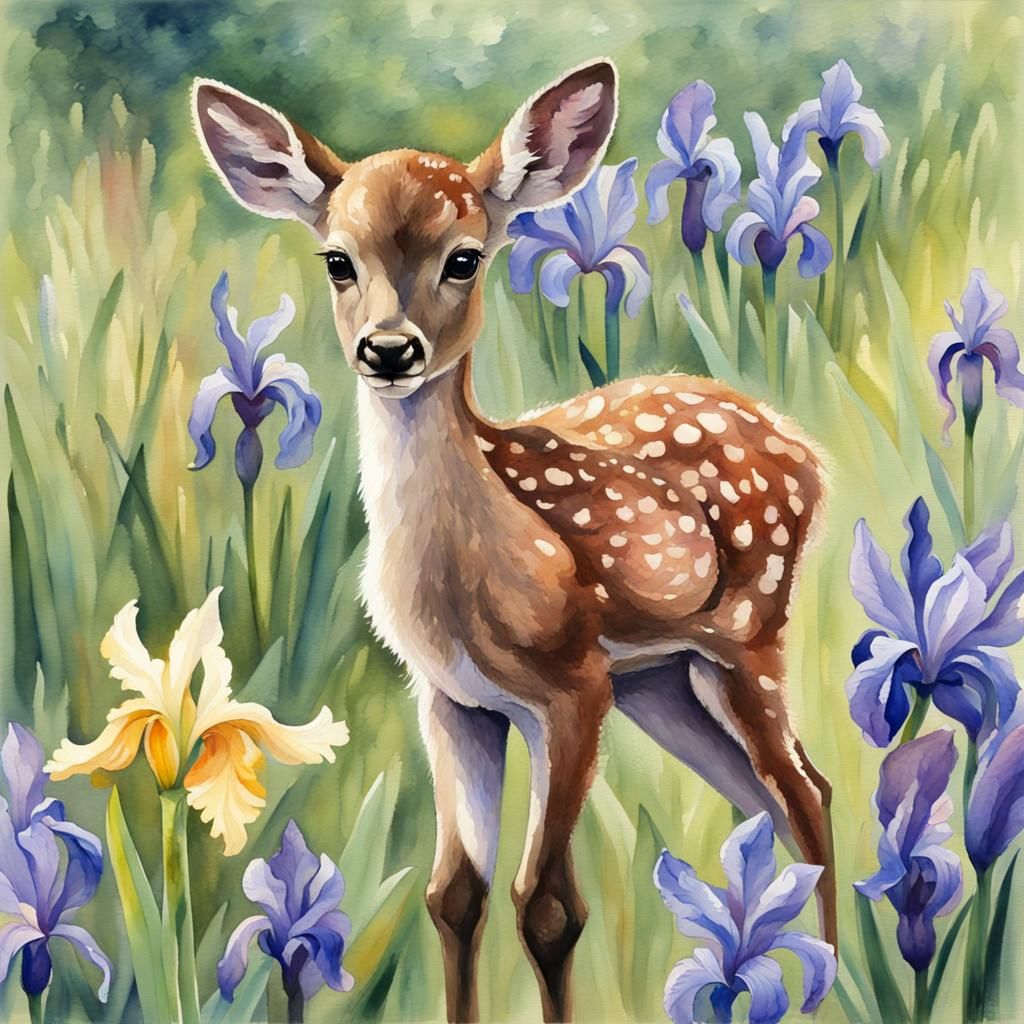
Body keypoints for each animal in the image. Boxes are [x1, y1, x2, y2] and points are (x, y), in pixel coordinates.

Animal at [192, 59, 835, 1023]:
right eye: (338, 260)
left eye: (464, 257)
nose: (389, 349)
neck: (461, 579)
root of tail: (807, 451)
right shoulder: (451, 698)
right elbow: (455, 895)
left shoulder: (573, 684)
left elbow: (550, 906)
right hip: (665, 684)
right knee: (771, 798)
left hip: (748, 633)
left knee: (807, 793)